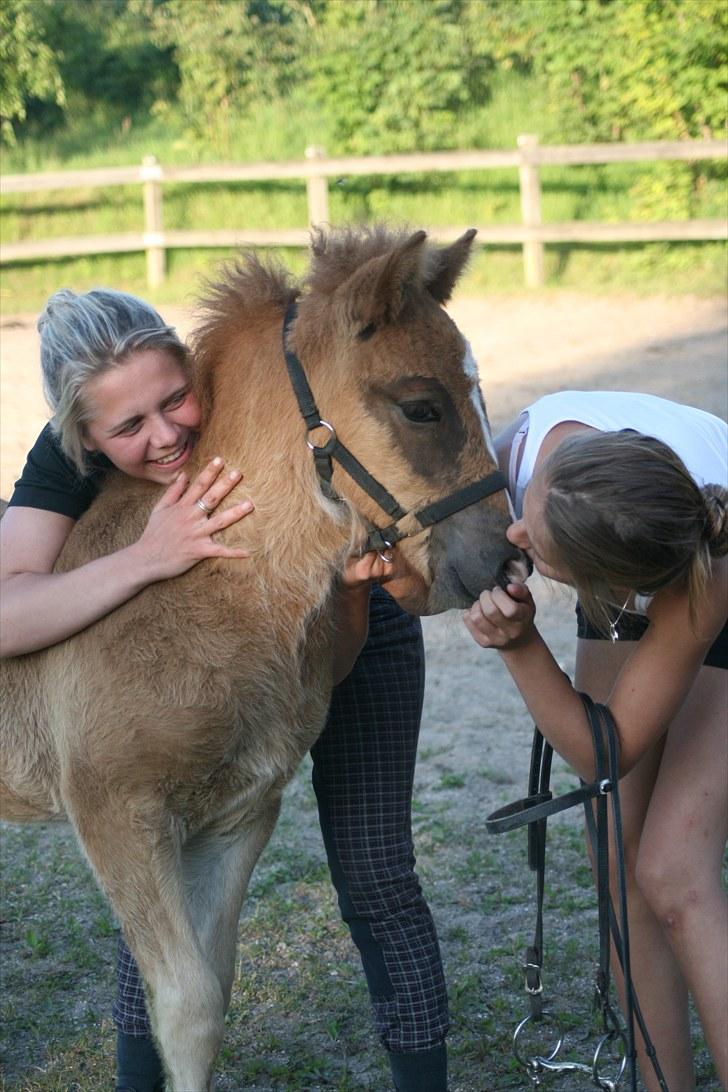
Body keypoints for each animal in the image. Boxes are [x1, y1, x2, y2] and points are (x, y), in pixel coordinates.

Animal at [0, 226, 523, 1087]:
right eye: (421, 405)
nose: (504, 561)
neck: (212, 591)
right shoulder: (116, 815)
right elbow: (184, 1007)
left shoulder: (237, 814)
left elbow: (213, 986)